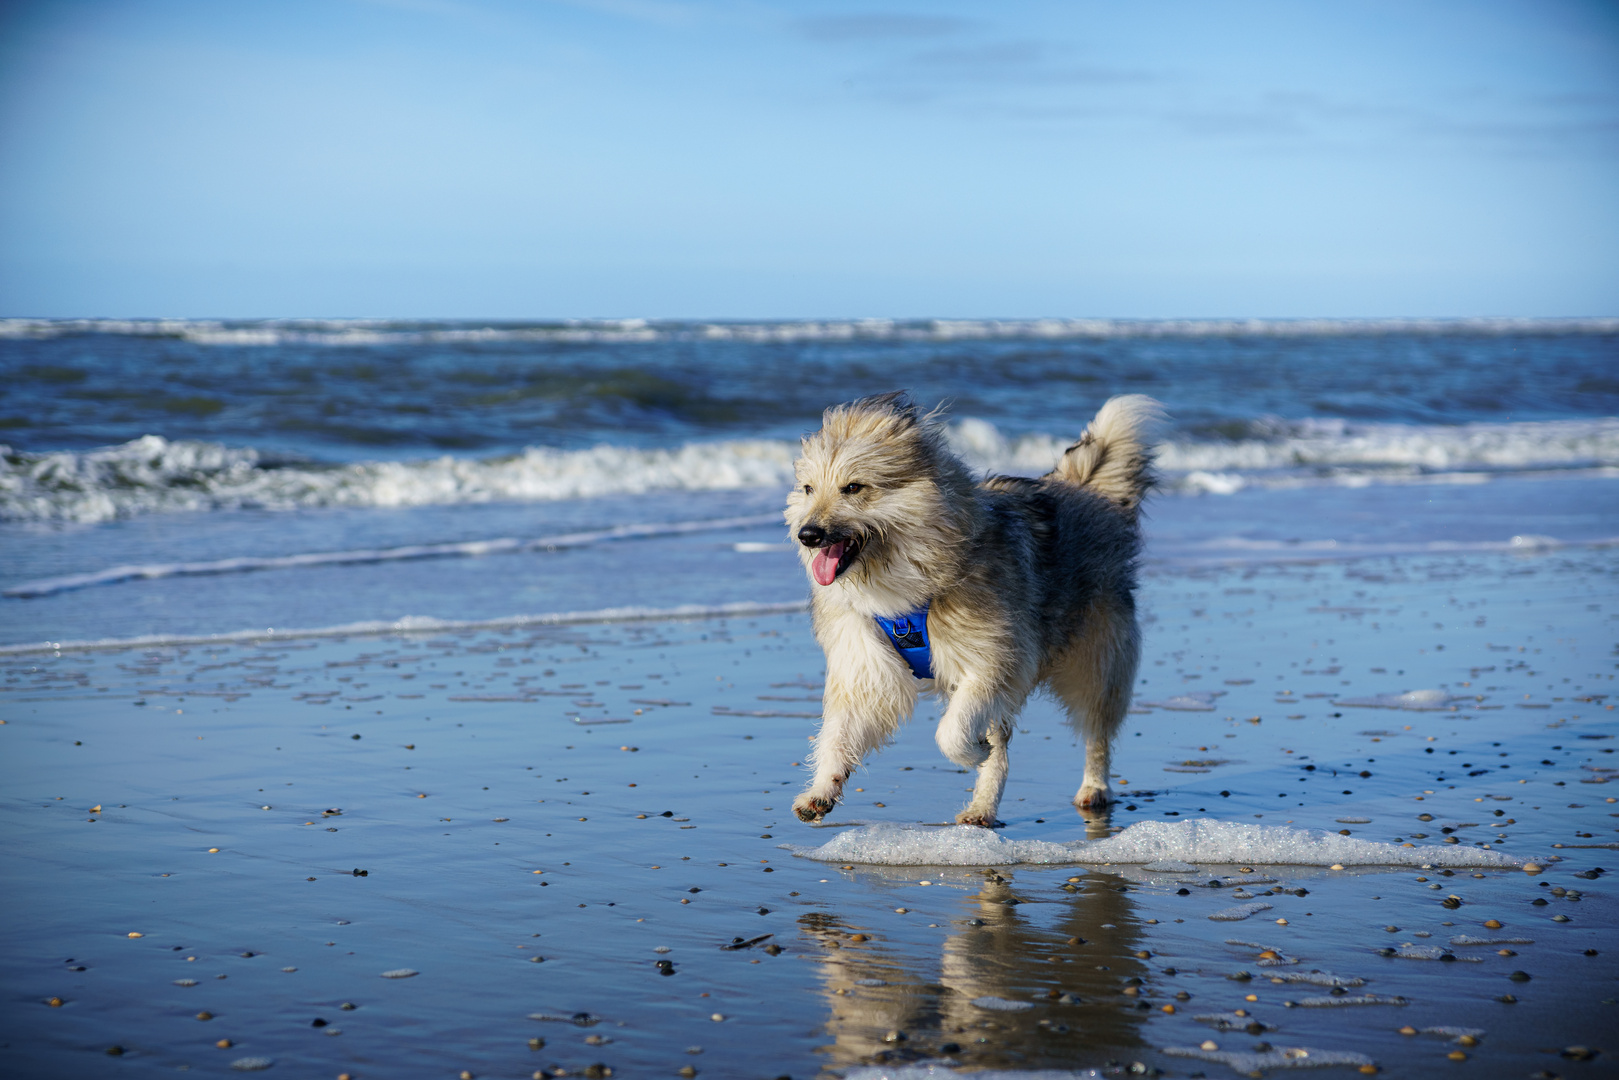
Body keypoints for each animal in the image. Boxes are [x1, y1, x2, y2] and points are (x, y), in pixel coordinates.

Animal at [783, 393, 1165, 822]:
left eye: (853, 487)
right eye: (808, 488)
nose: (808, 535)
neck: (908, 584)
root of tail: (1081, 485)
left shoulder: (995, 661)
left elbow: (951, 732)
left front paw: (973, 751)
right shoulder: (865, 664)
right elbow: (839, 731)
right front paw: (821, 789)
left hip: (1097, 661)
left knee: (1095, 730)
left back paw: (1092, 787)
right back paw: (983, 807)